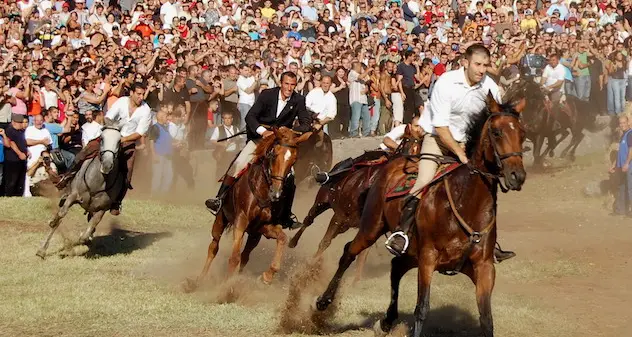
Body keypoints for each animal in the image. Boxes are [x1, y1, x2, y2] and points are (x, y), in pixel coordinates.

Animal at [184, 126, 312, 292]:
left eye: (293, 160)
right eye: (274, 155)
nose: (276, 193)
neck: (263, 190)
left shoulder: (264, 227)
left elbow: (282, 239)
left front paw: (267, 276)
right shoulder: (241, 221)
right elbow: (234, 257)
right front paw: (226, 287)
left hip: (254, 234)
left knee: (246, 255)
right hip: (221, 219)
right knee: (214, 247)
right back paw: (198, 281)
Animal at [288, 122, 424, 280]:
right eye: (407, 141)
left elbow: (361, 256)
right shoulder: (340, 215)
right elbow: (325, 242)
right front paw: (309, 269)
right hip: (322, 201)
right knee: (309, 219)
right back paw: (292, 242)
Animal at [316, 93, 528, 336]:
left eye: (522, 133)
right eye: (497, 132)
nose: (517, 176)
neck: (466, 201)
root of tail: (390, 165)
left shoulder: (484, 267)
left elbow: (486, 319)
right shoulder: (428, 258)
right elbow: (422, 309)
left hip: (409, 251)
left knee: (396, 266)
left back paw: (388, 319)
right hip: (371, 228)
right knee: (348, 253)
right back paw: (324, 301)